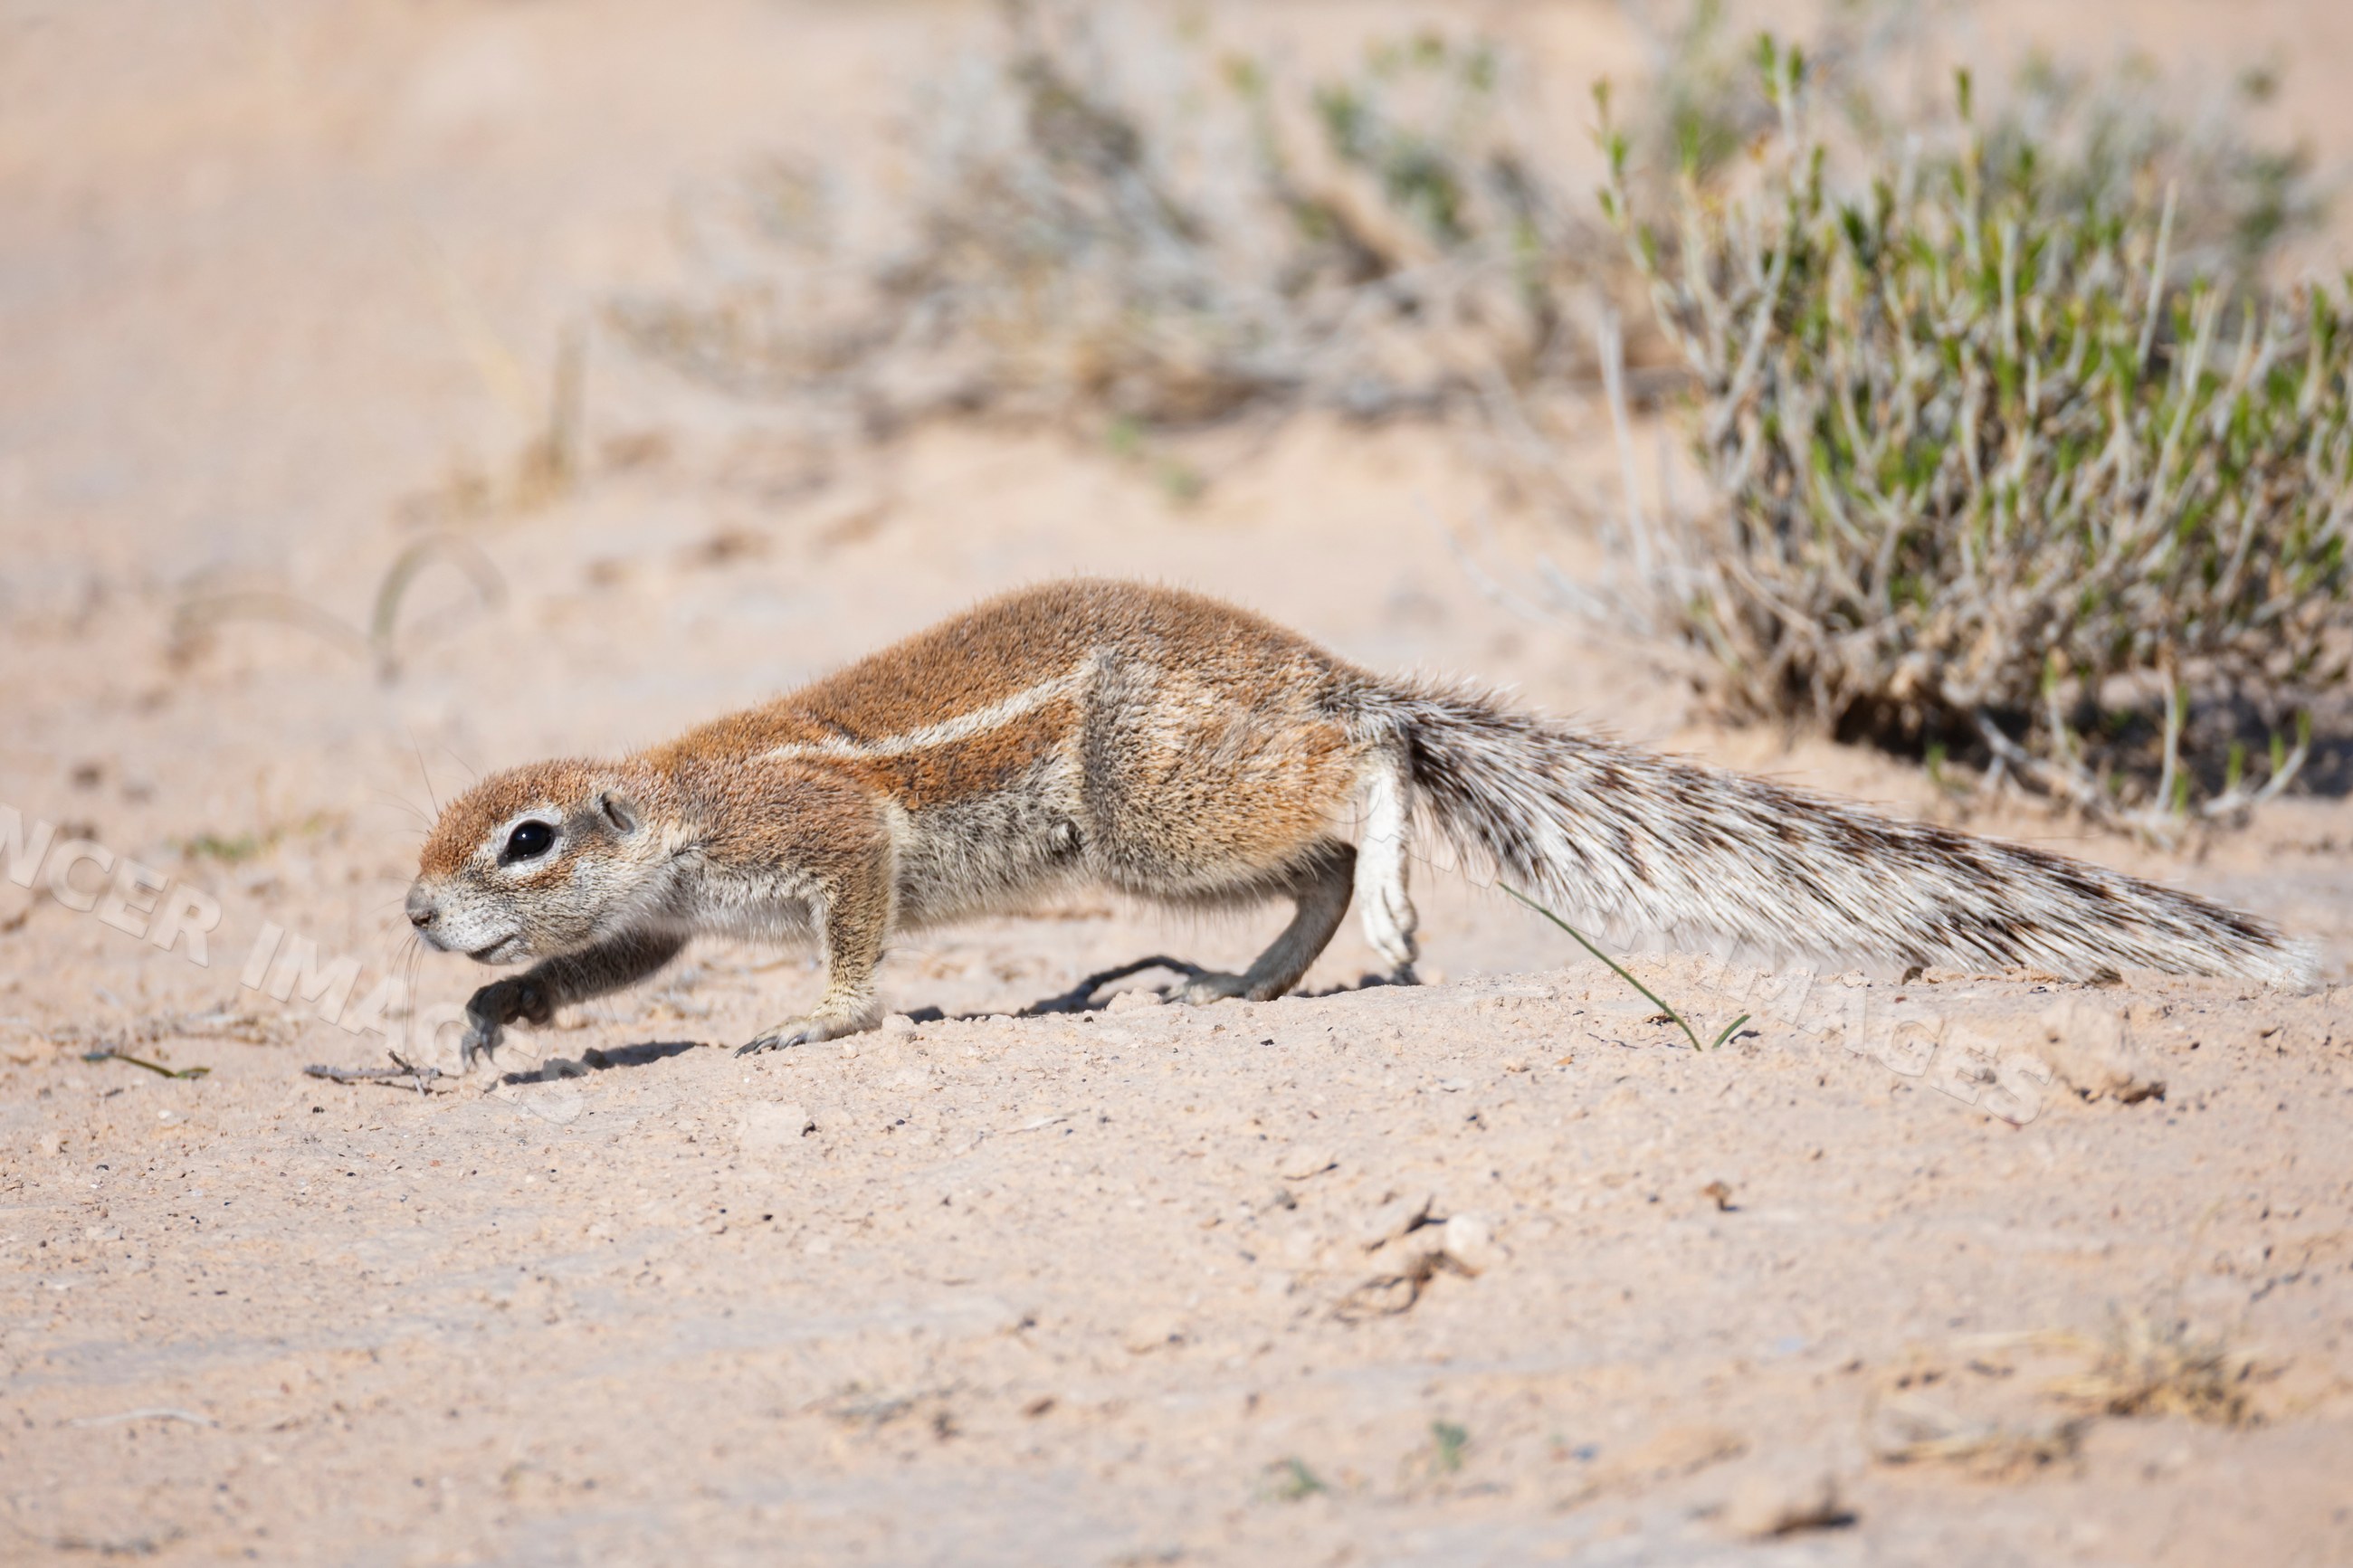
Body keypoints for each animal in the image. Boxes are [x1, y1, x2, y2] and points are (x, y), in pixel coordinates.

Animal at [406, 578, 2313, 1064]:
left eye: (523, 839)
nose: (417, 918)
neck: (670, 800)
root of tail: (1323, 665)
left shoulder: (818, 838)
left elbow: (857, 922)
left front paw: (816, 1020)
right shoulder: (661, 920)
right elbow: (594, 979)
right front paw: (491, 1021)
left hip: (1149, 810)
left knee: (1364, 781)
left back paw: (1381, 893)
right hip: (1169, 827)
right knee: (1316, 860)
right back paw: (1244, 988)